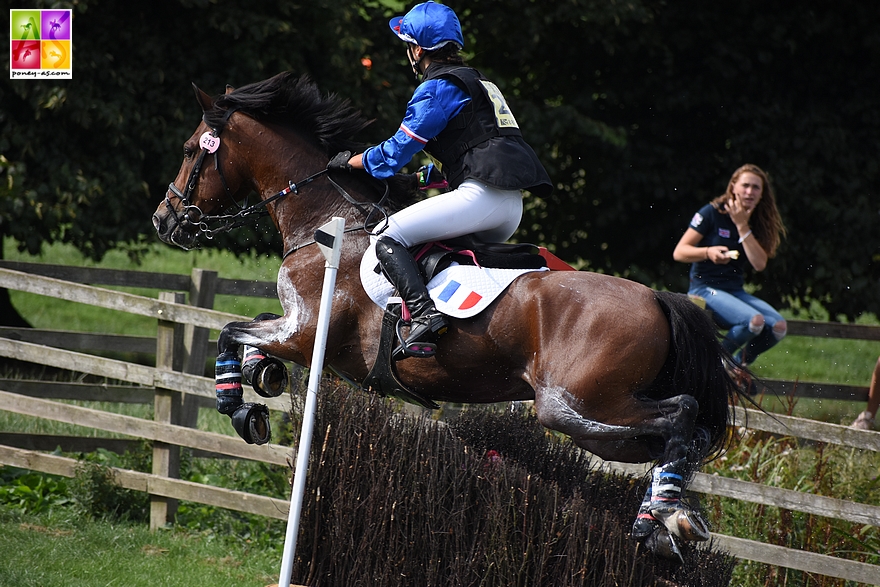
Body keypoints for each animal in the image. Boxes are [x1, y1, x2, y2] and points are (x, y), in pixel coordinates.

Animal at [151, 72, 744, 560]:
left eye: (190, 150)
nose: (164, 219)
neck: (326, 219)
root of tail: (658, 299)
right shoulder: (295, 330)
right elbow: (245, 334)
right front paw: (262, 377)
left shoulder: (305, 333)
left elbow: (230, 332)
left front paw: (243, 411)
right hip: (601, 427)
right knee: (677, 436)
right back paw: (670, 521)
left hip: (572, 407)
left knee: (681, 416)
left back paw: (662, 520)